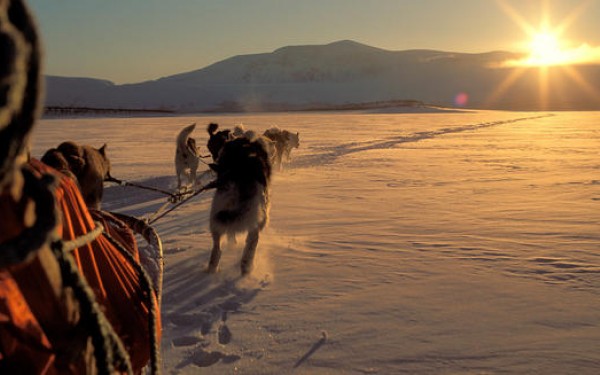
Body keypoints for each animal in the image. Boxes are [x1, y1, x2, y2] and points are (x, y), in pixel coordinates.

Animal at [206, 130, 272, 276]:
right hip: (258, 216)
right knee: (251, 245)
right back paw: (247, 268)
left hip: (218, 212)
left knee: (217, 248)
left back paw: (212, 269)